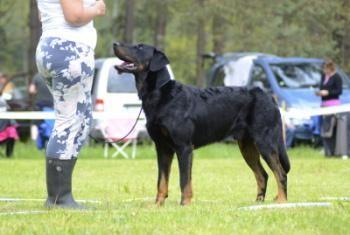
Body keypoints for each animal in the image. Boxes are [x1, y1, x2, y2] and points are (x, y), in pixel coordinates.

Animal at [113, 42, 292, 206]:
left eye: (139, 47)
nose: (115, 44)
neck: (158, 94)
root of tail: (270, 97)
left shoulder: (184, 147)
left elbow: (184, 180)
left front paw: (185, 204)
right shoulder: (162, 147)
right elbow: (161, 181)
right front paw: (158, 205)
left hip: (265, 141)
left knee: (281, 173)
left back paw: (282, 202)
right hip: (247, 146)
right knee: (263, 175)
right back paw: (258, 202)